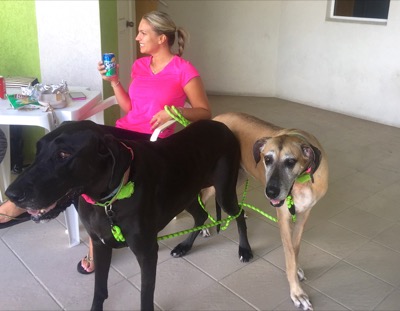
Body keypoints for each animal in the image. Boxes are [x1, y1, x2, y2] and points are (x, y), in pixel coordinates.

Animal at [212, 112, 328, 311]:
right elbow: (289, 254)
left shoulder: (304, 215)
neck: (302, 180)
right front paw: (297, 292)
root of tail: (216, 117)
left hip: (240, 176)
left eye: (290, 162)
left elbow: (295, 248)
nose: (271, 192)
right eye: (267, 159)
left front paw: (297, 269)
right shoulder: (284, 218)